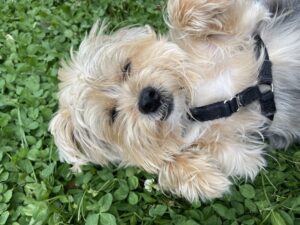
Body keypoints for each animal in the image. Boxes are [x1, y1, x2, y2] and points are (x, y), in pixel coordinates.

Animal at [49, 0, 300, 202]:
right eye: (113, 114)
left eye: (126, 68)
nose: (147, 99)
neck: (193, 103)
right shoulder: (237, 149)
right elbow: (173, 159)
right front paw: (198, 175)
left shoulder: (245, 27)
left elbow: (182, 12)